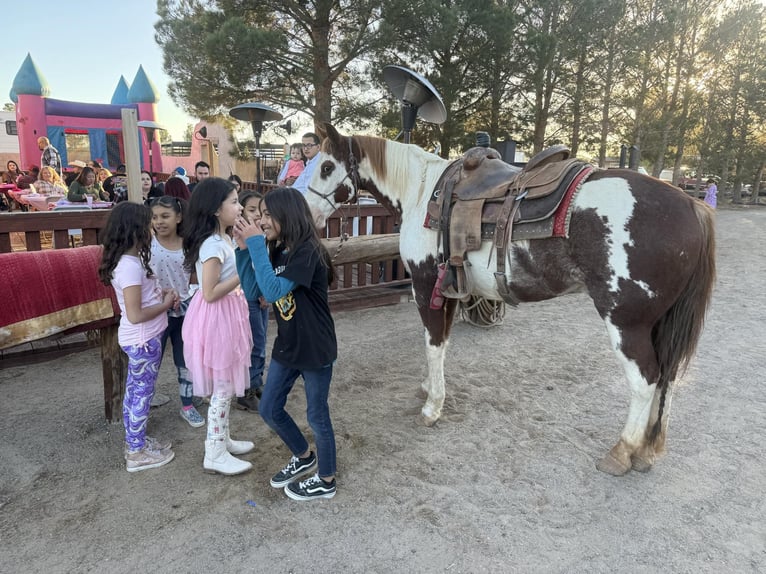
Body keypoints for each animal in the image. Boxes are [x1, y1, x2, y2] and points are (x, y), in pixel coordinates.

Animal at [306, 123, 716, 476]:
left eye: (326, 166)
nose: (307, 213)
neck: (422, 194)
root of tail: (691, 206)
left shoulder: (425, 286)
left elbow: (433, 343)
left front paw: (432, 406)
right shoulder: (449, 290)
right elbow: (442, 343)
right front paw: (430, 387)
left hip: (627, 323)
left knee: (645, 380)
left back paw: (622, 451)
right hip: (659, 324)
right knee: (666, 378)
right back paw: (647, 450)